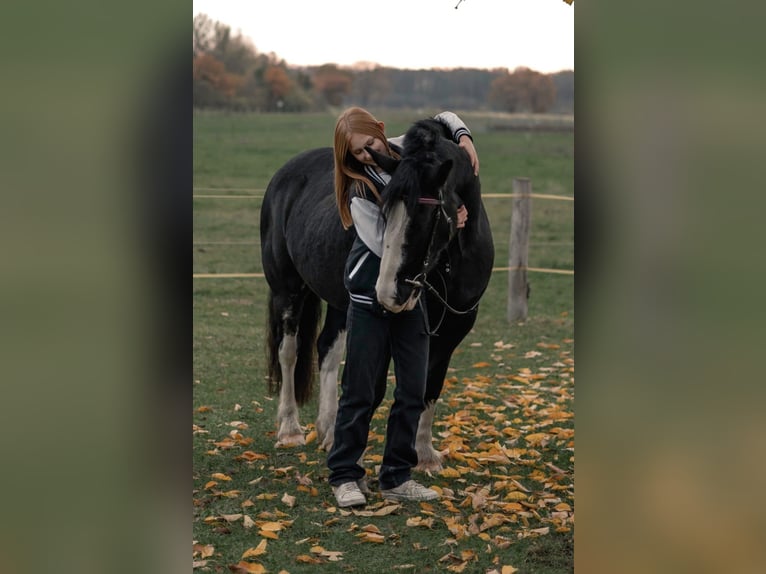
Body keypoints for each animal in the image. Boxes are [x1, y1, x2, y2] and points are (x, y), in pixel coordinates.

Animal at [260, 120, 496, 472]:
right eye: (383, 213)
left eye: (426, 218)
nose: (388, 293)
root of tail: (283, 176)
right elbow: (376, 388)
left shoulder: (453, 329)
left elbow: (430, 385)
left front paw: (424, 455)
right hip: (286, 290)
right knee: (288, 351)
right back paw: (290, 429)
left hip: (339, 303)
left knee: (327, 348)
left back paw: (327, 427)